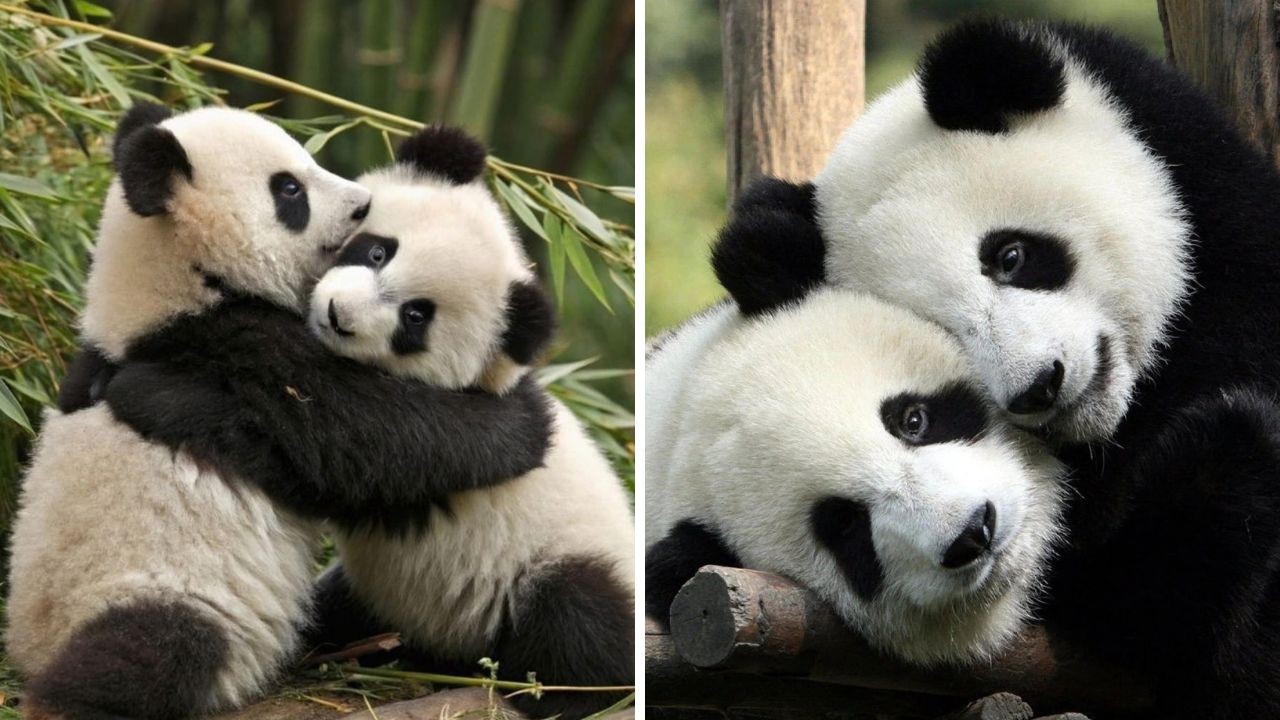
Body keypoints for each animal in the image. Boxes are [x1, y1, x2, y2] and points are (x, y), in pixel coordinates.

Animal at [9, 105, 555, 720]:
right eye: (289, 189)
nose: (362, 204)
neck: (169, 289)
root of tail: (30, 646)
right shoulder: (235, 342)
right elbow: (368, 438)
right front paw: (525, 423)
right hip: (152, 589)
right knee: (150, 650)